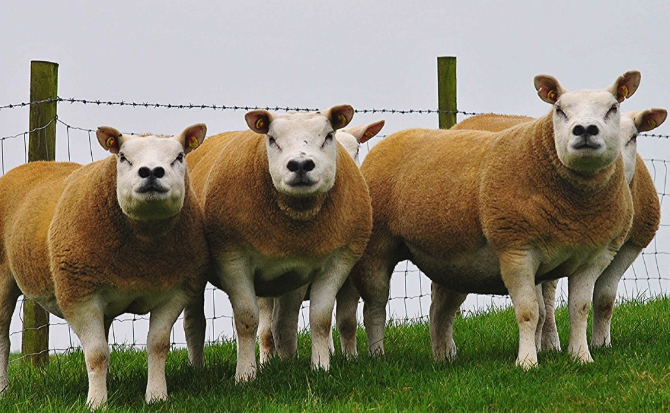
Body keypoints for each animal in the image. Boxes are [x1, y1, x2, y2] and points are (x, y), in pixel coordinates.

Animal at [0, 122, 210, 406]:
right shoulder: (80, 295)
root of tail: (33, 164)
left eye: (179, 157)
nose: (151, 172)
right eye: (122, 157)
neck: (142, 256)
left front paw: (156, 396)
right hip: (3, 278)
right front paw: (97, 402)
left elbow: (157, 345)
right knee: (2, 339)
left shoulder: (174, 291)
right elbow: (97, 353)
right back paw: (3, 389)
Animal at [184, 106, 372, 380]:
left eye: (328, 136)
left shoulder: (337, 262)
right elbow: (246, 320)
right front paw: (245, 375)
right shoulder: (233, 260)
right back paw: (198, 368)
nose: (301, 164)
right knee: (195, 323)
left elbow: (322, 319)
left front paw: (321, 367)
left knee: (283, 323)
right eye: (272, 139)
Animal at [350, 71, 644, 366]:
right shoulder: (516, 249)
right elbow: (529, 311)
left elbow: (579, 308)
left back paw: (444, 357)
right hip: (378, 247)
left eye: (613, 108)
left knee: (440, 310)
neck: (575, 211)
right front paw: (527, 363)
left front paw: (581, 357)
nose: (584, 130)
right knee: (375, 307)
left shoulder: (594, 257)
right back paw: (377, 355)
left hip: (453, 262)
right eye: (559, 109)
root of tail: (396, 137)